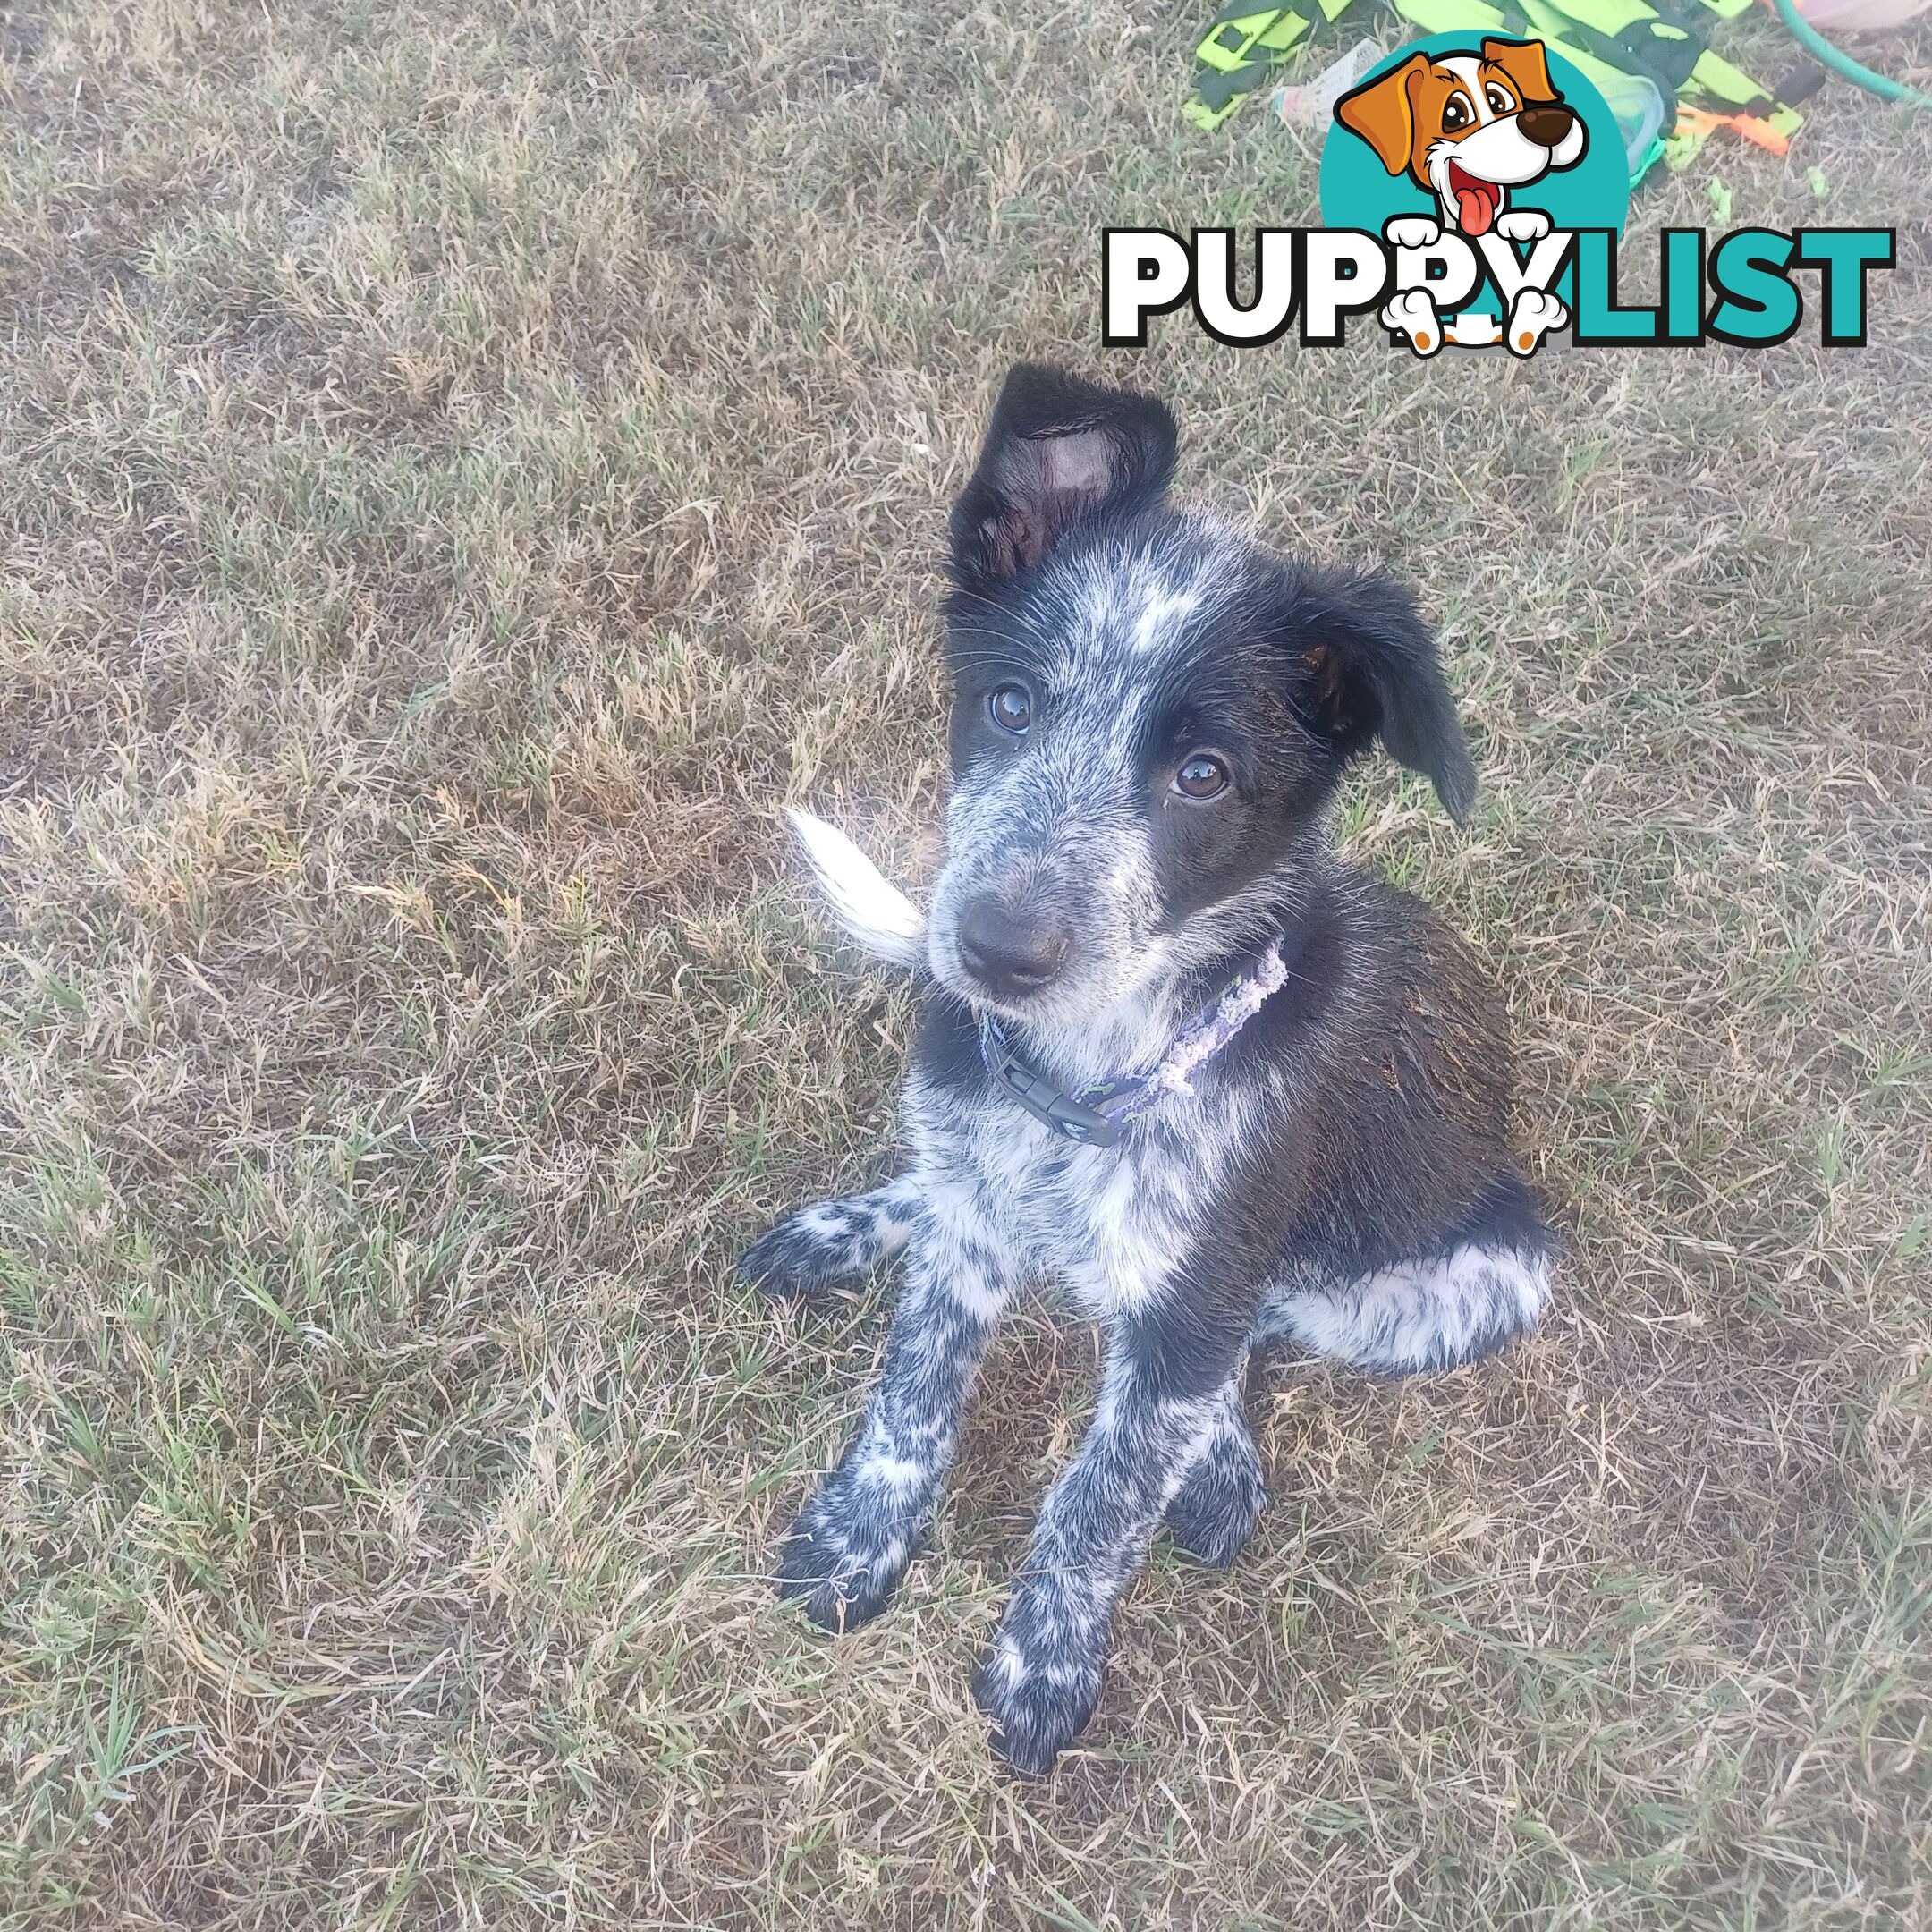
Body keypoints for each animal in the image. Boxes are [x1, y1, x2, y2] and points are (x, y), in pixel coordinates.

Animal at [738, 365, 1553, 1777]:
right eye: (1011, 704)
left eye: (1203, 775)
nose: (991, 952)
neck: (1083, 1085)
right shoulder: (970, 1216)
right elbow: (914, 1389)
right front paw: (860, 1536)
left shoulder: (1196, 1293)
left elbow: (1102, 1496)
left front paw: (1043, 1663)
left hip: (1485, 1279)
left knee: (1257, 1328)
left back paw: (1215, 1453)